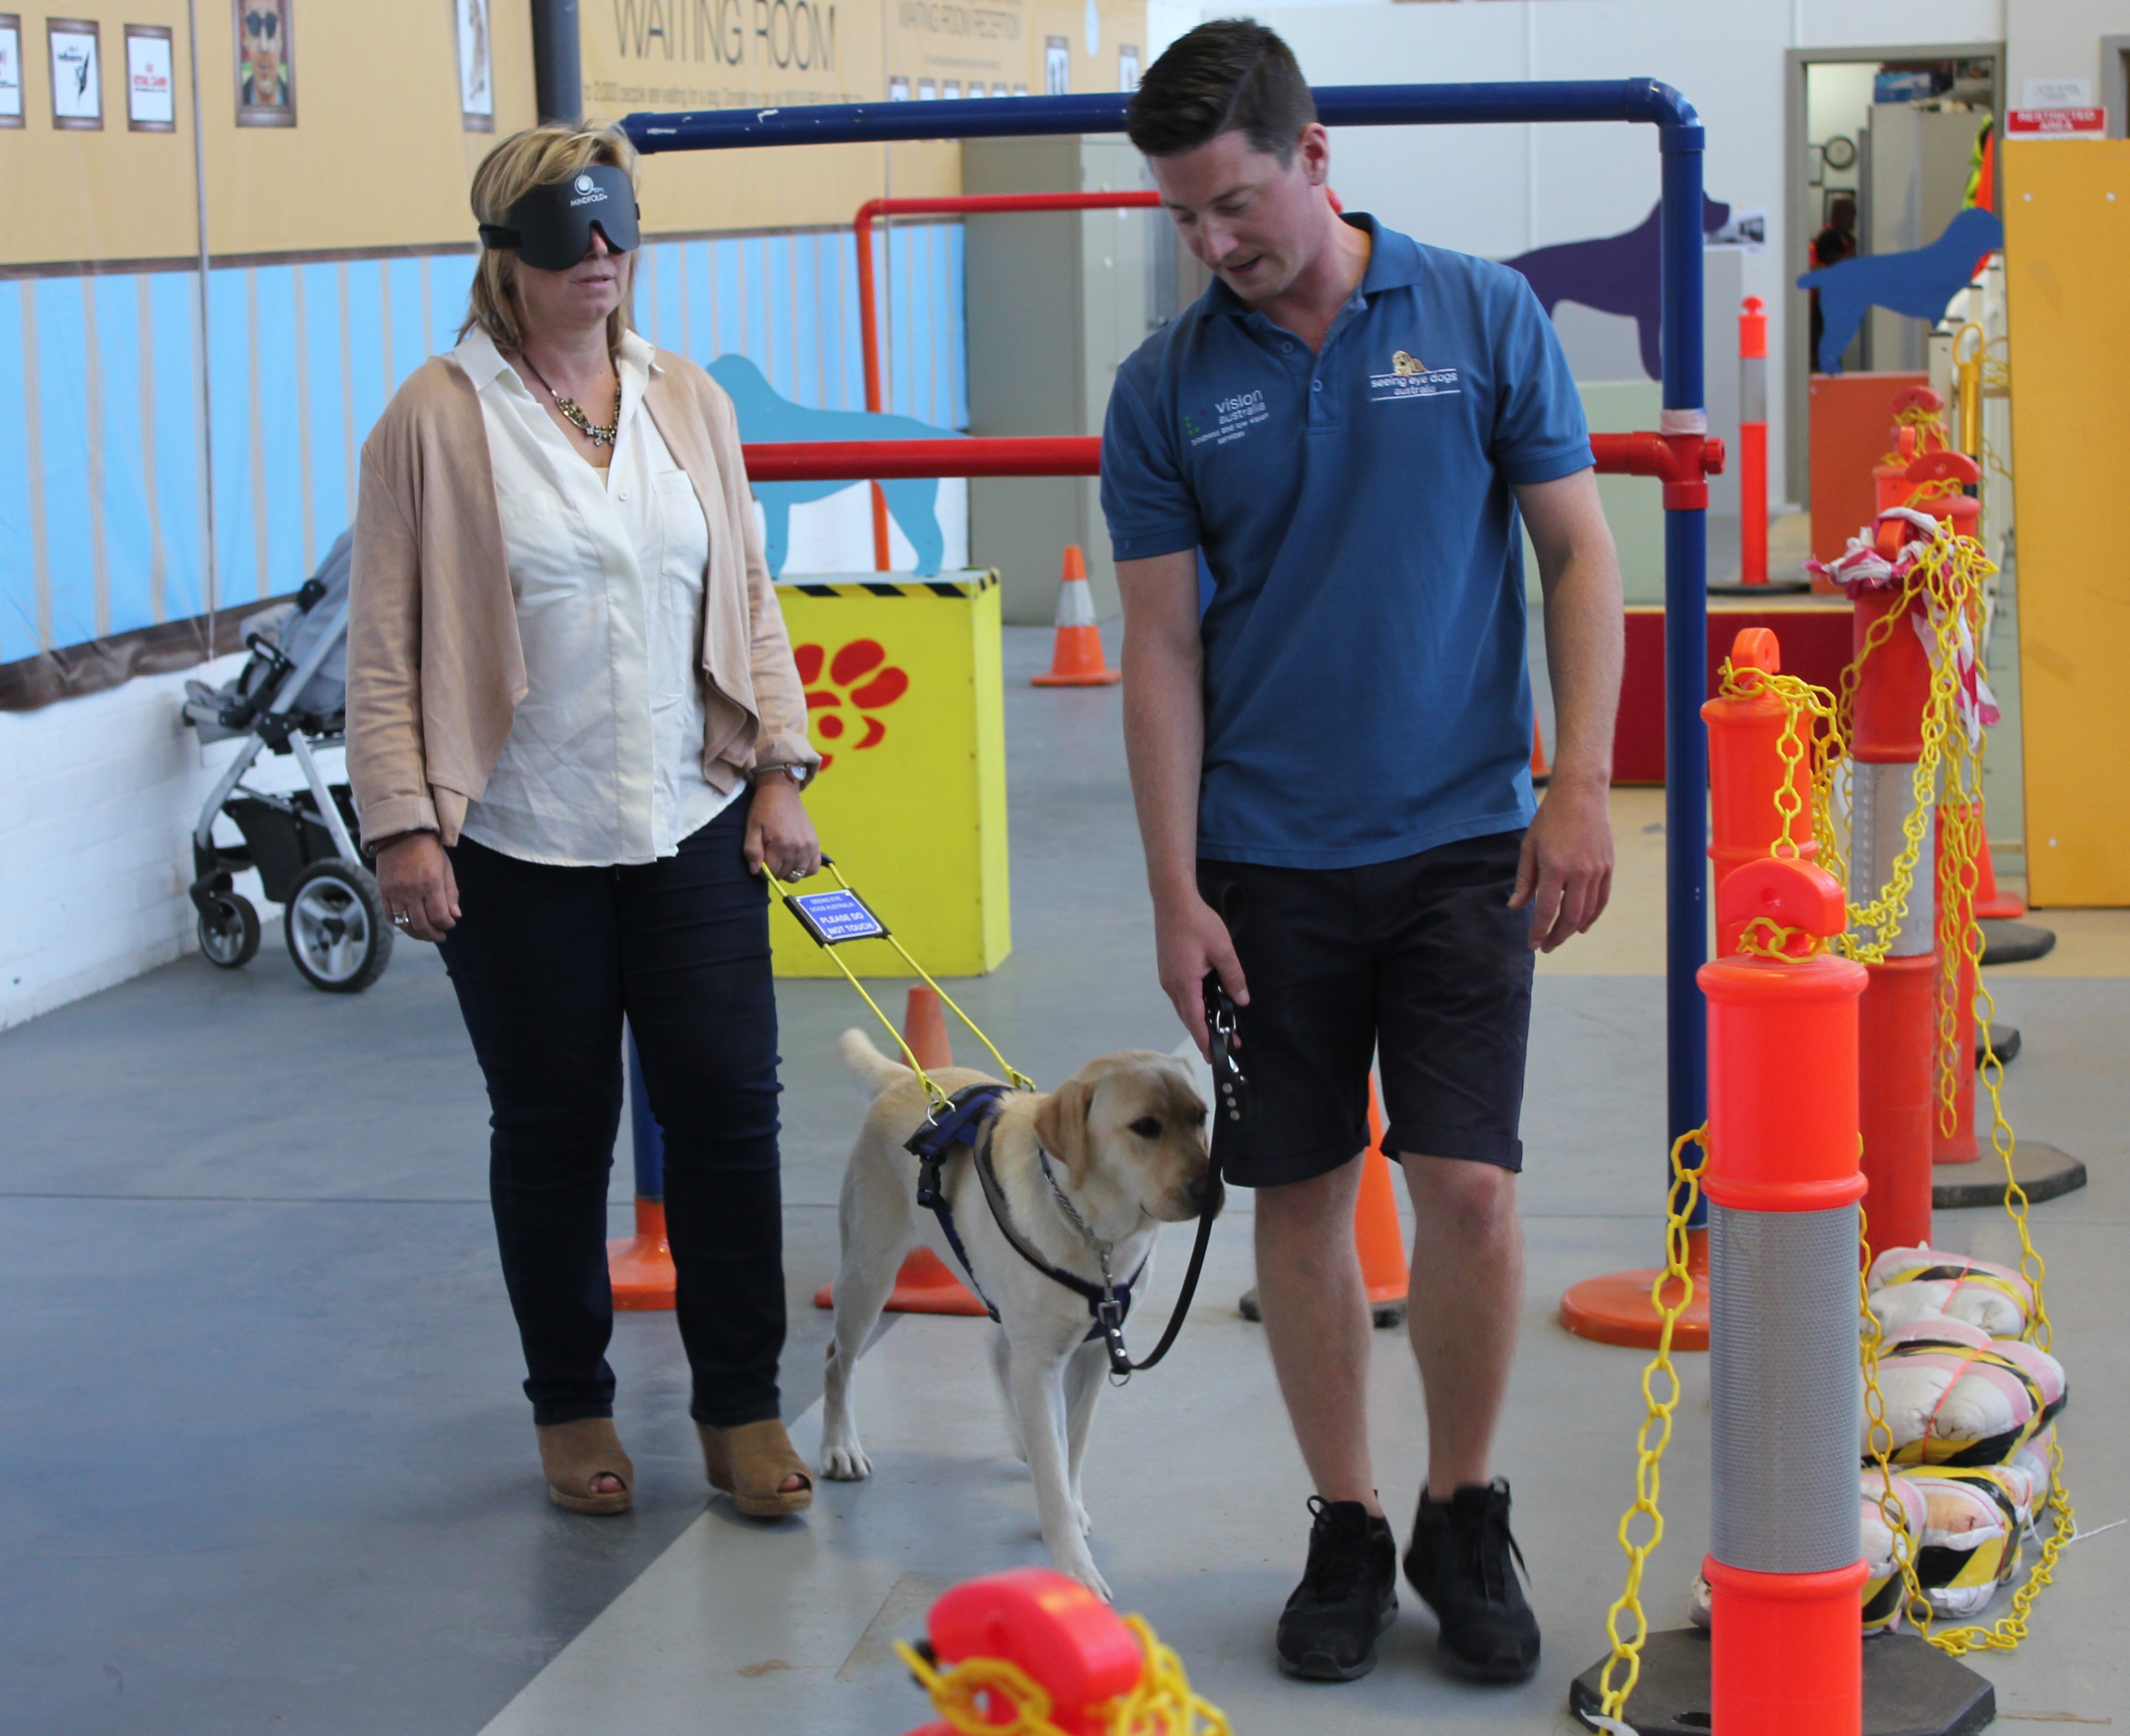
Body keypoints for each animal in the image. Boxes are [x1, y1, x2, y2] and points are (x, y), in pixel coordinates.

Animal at [818, 1031, 1218, 1601]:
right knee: (838, 1361)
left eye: (1202, 1117)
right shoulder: (1043, 1360)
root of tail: (904, 1078)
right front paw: (1074, 1569)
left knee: (998, 1350)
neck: (1094, 1234)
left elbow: (1070, 1447)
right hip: (867, 1276)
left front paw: (1069, 1499)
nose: (1212, 1190)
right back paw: (840, 1448)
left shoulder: (1091, 1356)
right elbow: (1053, 1467)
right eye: (1146, 1127)